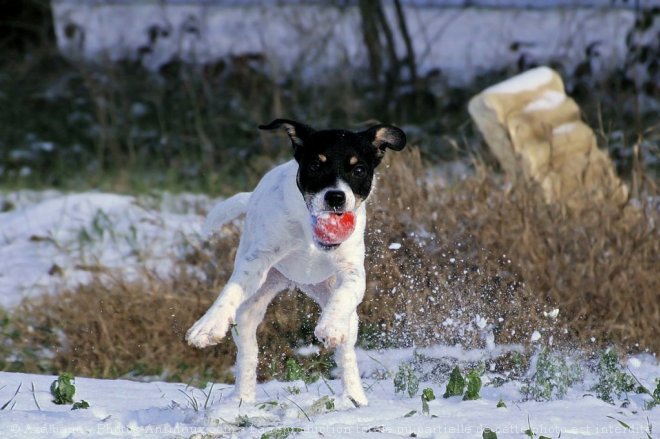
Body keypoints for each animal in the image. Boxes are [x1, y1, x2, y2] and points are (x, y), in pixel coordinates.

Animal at [183, 118, 404, 408]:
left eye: (358, 169)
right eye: (315, 165)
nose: (335, 197)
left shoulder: (352, 269)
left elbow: (347, 291)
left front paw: (330, 324)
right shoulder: (257, 261)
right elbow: (230, 290)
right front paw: (208, 326)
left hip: (341, 307)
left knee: (346, 352)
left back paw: (354, 397)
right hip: (253, 303)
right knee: (248, 352)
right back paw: (242, 399)